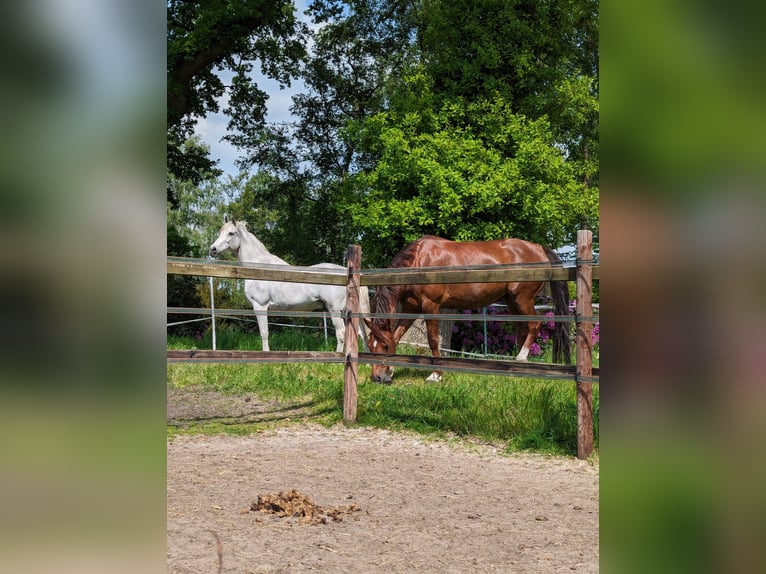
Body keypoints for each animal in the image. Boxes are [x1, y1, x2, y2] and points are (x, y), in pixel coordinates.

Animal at [207, 223, 368, 354]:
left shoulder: (260, 306)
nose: (212, 249)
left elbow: (264, 333)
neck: (260, 267)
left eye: (231, 233)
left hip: (335, 310)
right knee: (362, 334)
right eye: (220, 232)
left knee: (342, 333)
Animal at [364, 236, 568, 384]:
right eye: (371, 346)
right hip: (513, 302)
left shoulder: (431, 306)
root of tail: (539, 248)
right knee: (522, 329)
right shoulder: (410, 309)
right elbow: (397, 336)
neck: (418, 261)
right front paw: (390, 372)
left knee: (534, 324)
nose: (377, 377)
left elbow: (433, 340)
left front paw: (436, 374)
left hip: (523, 299)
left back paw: (520, 359)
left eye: (384, 346)